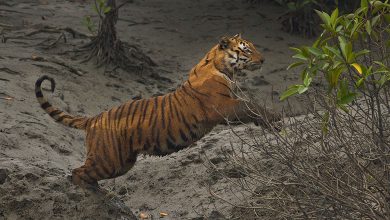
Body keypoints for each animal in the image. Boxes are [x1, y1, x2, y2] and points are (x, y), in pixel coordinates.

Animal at [35, 33, 282, 188]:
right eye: (247, 50)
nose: (263, 59)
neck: (223, 68)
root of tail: (94, 117)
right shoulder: (222, 106)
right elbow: (250, 105)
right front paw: (274, 117)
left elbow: (249, 109)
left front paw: (266, 121)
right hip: (108, 160)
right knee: (78, 173)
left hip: (122, 162)